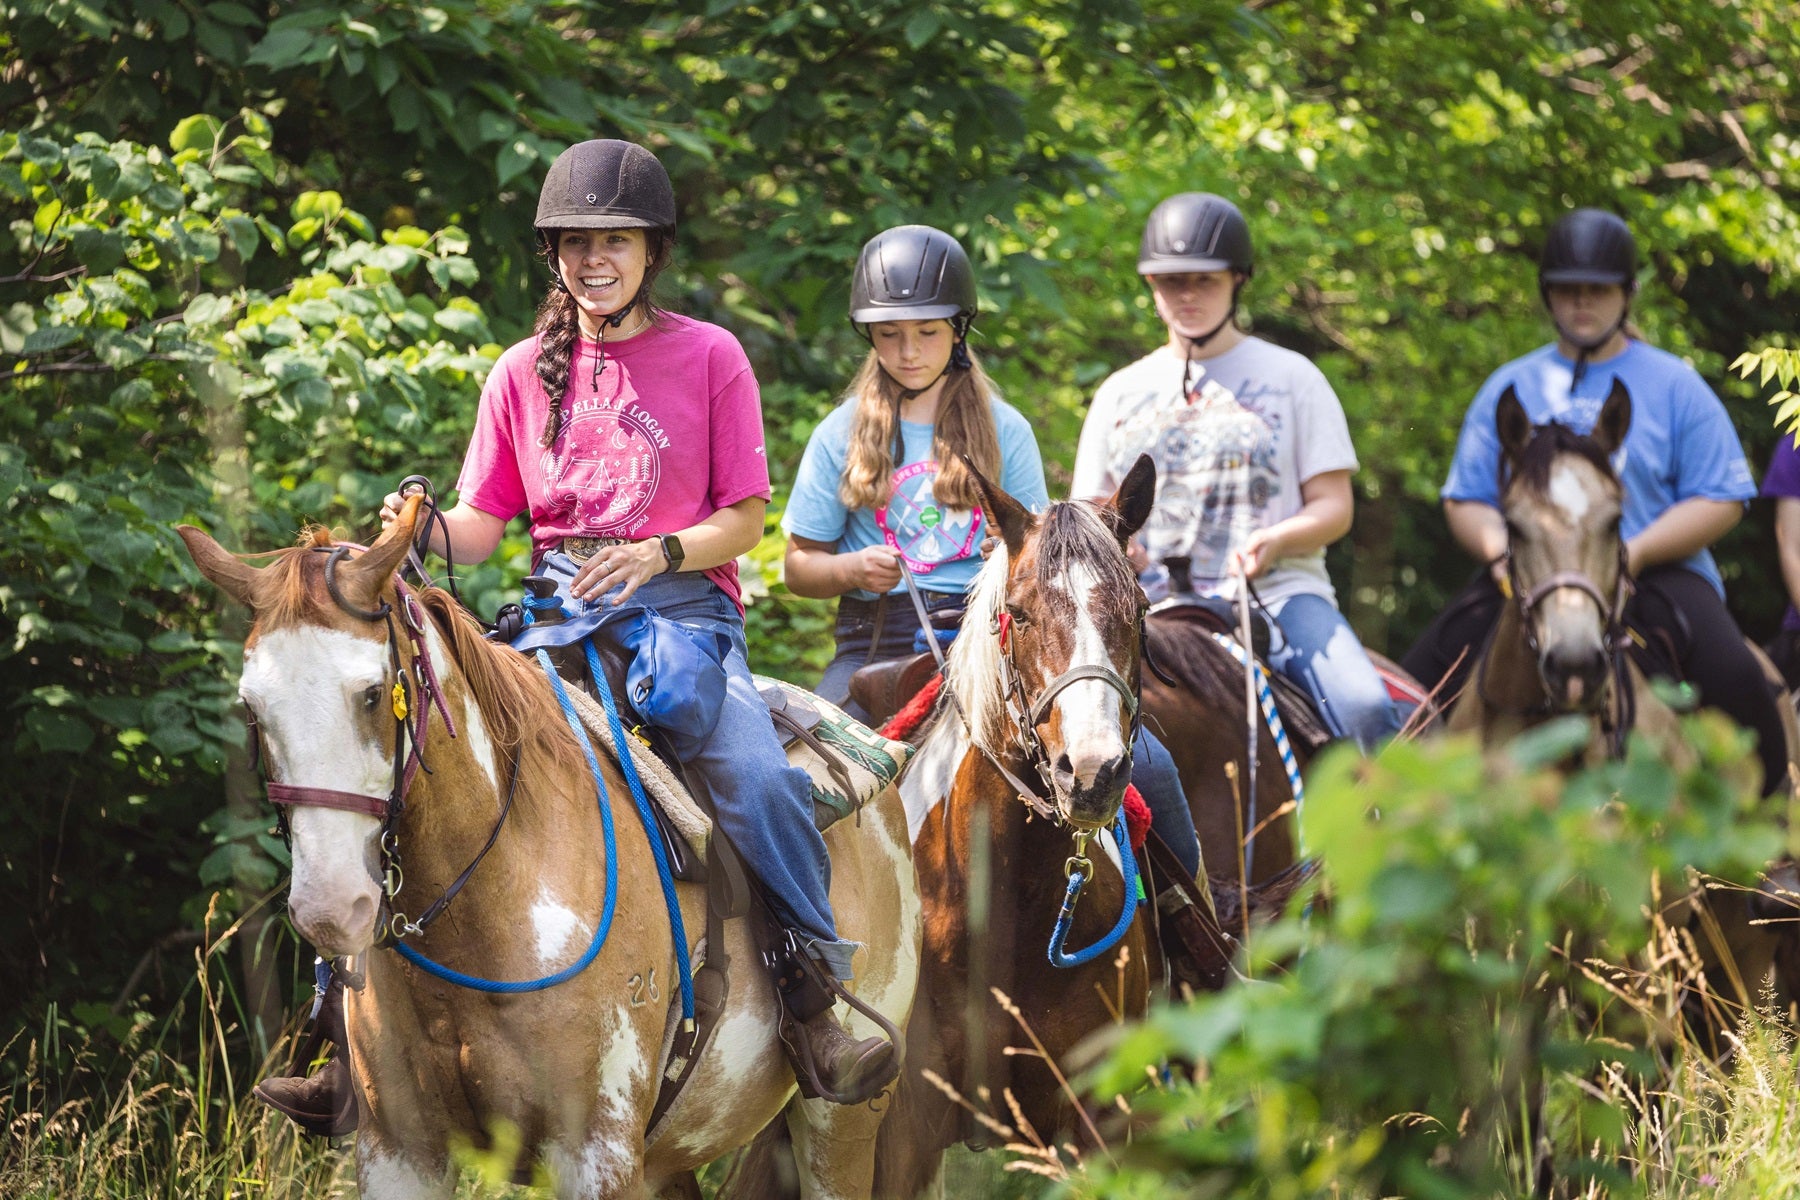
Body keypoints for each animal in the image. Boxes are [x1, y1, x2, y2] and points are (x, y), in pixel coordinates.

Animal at [180, 496, 921, 1200]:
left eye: (370, 694)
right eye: (252, 707)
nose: (331, 910)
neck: (489, 903)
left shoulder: (594, 1152)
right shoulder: (400, 1151)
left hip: (839, 1125)